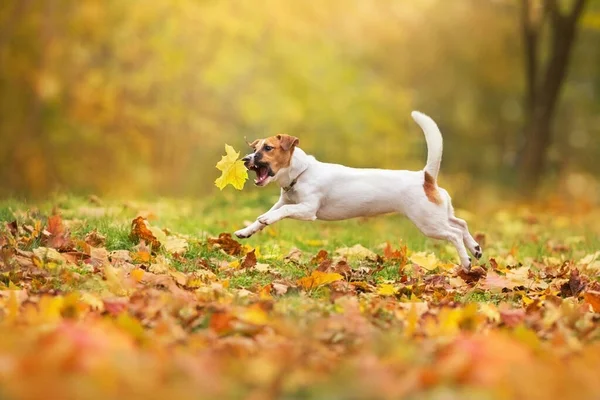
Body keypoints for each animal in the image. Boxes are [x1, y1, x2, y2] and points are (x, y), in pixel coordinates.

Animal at [234, 111, 482, 270]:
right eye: (254, 148)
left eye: (268, 148)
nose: (246, 159)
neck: (301, 173)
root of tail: (426, 178)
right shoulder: (284, 201)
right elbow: (267, 215)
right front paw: (247, 230)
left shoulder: (307, 210)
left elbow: (279, 213)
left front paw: (267, 219)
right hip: (439, 215)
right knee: (461, 224)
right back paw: (476, 248)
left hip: (429, 222)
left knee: (454, 233)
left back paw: (466, 261)